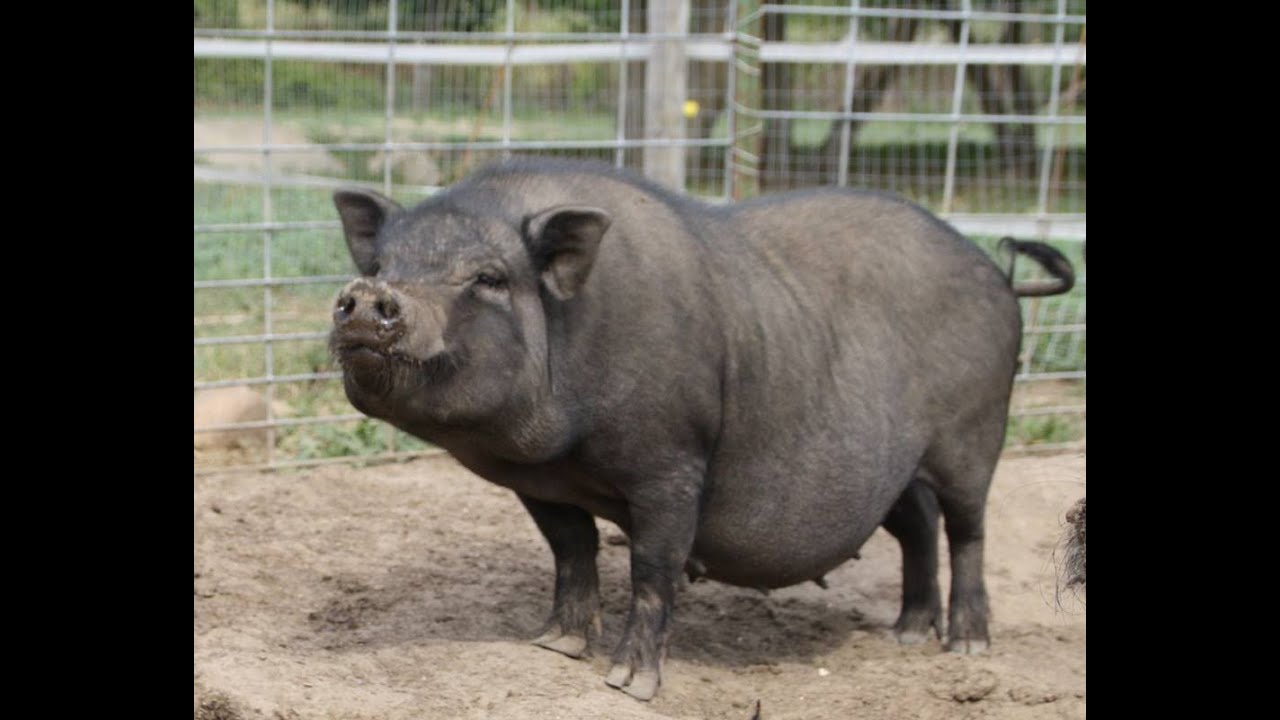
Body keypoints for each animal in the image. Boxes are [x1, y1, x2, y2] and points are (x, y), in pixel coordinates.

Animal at [329, 157, 1075, 700]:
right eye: (381, 267)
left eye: (487, 277)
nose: (367, 296)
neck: (562, 452)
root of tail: (996, 272)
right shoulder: (544, 484)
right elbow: (571, 551)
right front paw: (553, 645)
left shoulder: (672, 463)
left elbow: (653, 569)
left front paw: (628, 684)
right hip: (894, 468)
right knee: (919, 525)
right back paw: (907, 636)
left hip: (974, 432)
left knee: (969, 528)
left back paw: (968, 644)